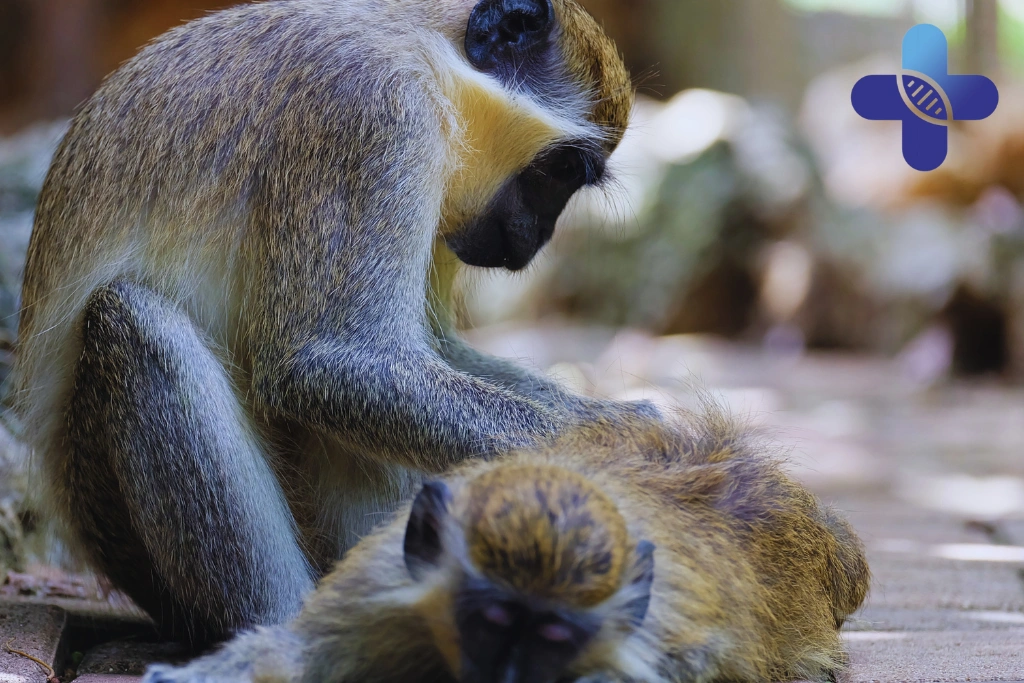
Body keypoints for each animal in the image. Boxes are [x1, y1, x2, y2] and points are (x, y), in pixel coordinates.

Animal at [13, 0, 647, 646]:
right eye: (561, 170)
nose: (533, 242)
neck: (426, 51)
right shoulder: (376, 117)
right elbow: (328, 359)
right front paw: (625, 450)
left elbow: (424, 351)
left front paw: (624, 421)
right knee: (136, 325)